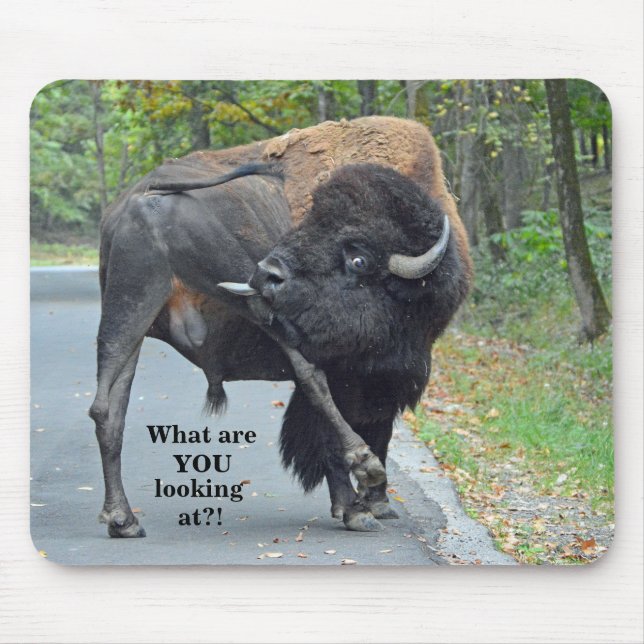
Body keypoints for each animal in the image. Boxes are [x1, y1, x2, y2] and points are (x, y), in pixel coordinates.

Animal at [89, 117, 472, 538]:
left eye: (358, 259)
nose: (267, 272)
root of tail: (140, 199)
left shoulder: (385, 379)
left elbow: (379, 427)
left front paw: (376, 505)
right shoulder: (356, 376)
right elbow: (334, 425)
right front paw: (357, 507)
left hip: (129, 313)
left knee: (108, 408)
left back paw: (122, 519)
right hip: (253, 301)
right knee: (310, 377)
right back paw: (365, 467)